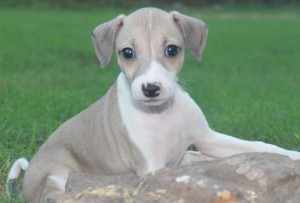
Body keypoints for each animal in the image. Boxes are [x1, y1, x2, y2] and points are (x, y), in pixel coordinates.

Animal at [7, 7, 300, 202]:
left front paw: (292, 155)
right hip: (56, 176)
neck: (163, 113)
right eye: (127, 52)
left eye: (172, 49)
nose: (151, 89)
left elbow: (257, 146)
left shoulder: (207, 139)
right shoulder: (151, 166)